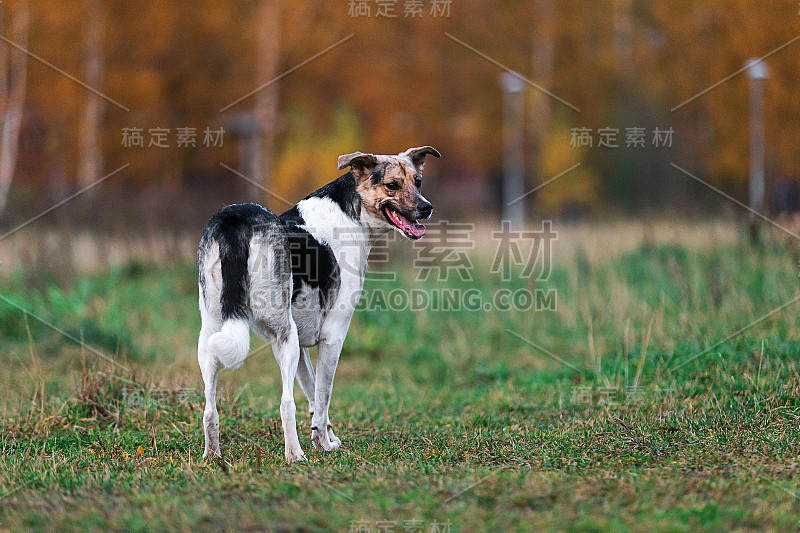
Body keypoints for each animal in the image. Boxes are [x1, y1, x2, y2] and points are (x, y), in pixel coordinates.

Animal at [196, 145, 440, 462]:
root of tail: (235, 221)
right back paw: (295, 455)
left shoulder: (302, 347)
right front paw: (323, 443)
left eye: (418, 182)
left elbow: (313, 396)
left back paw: (212, 455)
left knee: (209, 410)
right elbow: (323, 398)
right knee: (285, 404)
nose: (427, 208)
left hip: (212, 336)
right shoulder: (332, 338)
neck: (352, 214)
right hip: (283, 338)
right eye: (392, 185)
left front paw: (325, 437)